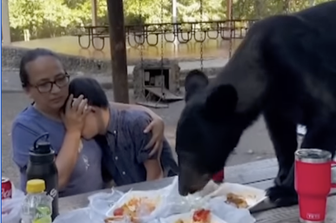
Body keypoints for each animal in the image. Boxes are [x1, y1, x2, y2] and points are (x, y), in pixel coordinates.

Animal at [175, 0, 336, 208]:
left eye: (189, 153)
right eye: (178, 151)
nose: (183, 189)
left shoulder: (301, 65)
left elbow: (324, 117)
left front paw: (283, 191)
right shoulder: (277, 104)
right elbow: (281, 134)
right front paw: (281, 175)